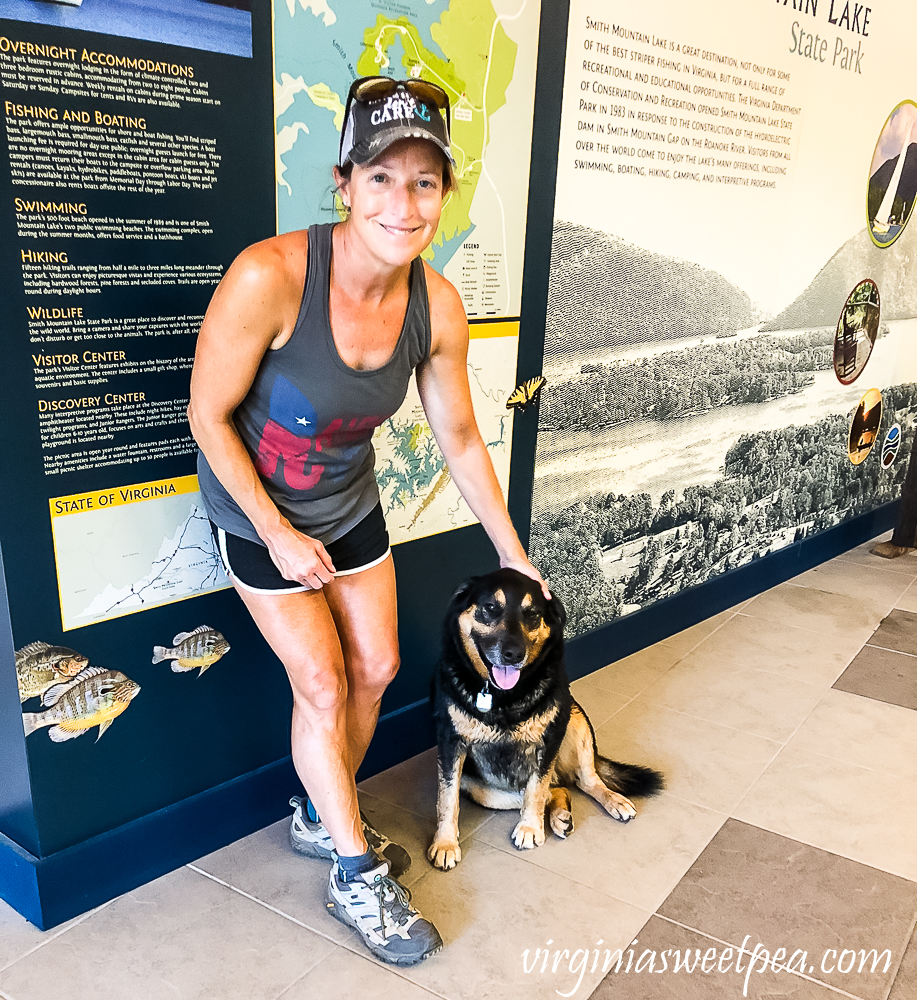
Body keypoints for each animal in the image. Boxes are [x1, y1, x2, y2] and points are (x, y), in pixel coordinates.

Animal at [426, 572, 660, 868]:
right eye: (490, 608)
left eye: (533, 614)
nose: (514, 654)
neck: (503, 697)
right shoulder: (450, 743)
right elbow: (446, 799)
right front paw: (445, 842)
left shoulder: (550, 738)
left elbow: (536, 789)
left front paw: (529, 828)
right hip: (483, 791)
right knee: (556, 789)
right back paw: (560, 816)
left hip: (575, 719)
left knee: (582, 781)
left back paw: (612, 801)